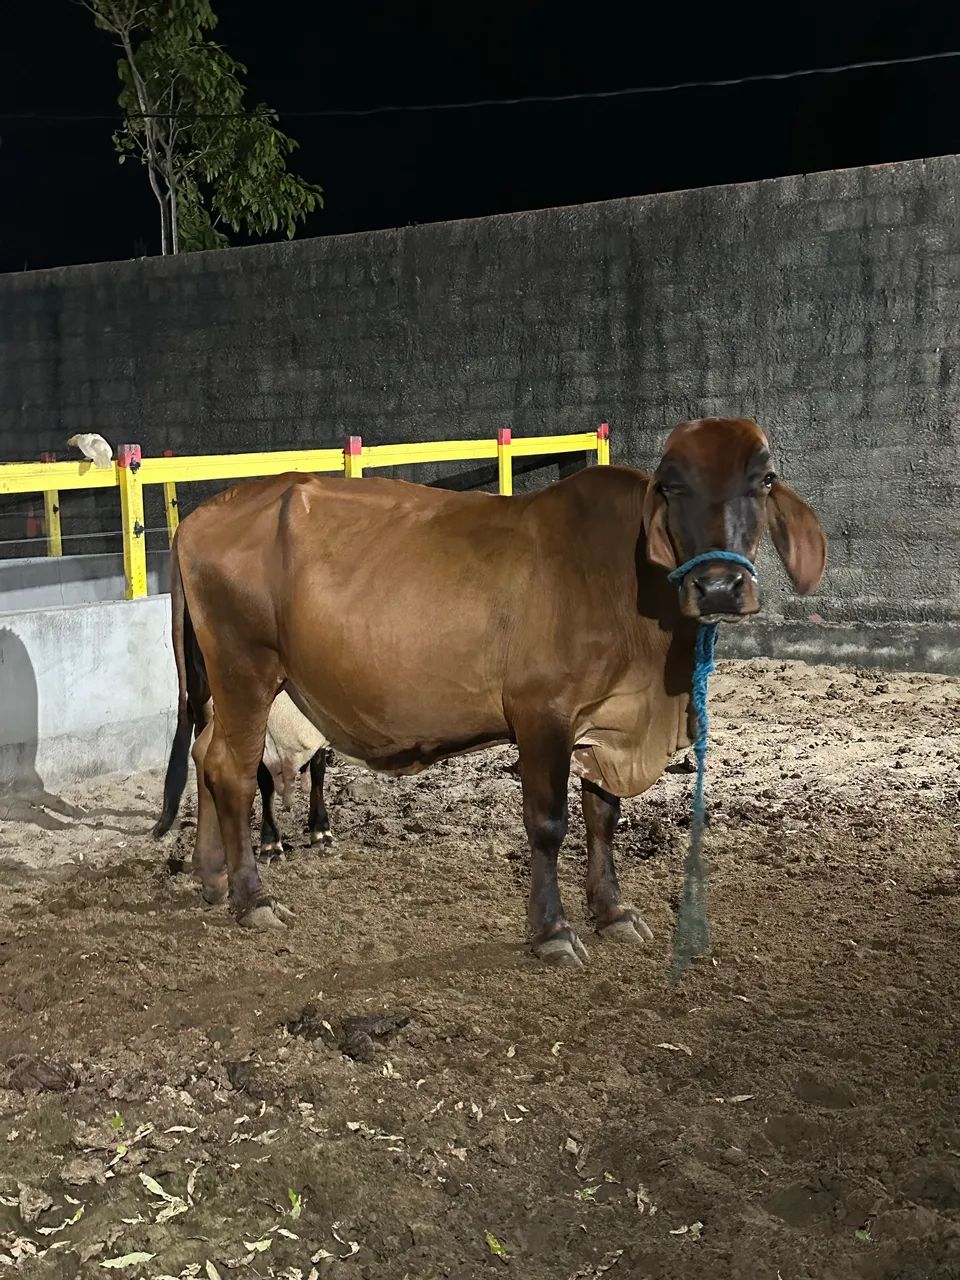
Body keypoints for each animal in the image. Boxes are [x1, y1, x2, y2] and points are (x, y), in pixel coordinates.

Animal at [162, 417, 826, 965]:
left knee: (204, 755)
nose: (719, 586)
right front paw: (553, 931)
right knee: (233, 770)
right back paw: (252, 898)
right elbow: (549, 822)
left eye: (763, 479)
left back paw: (212, 878)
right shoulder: (542, 712)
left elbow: (604, 814)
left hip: (230, 686)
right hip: (246, 670)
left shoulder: (608, 720)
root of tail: (200, 517)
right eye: (671, 485)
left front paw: (613, 912)